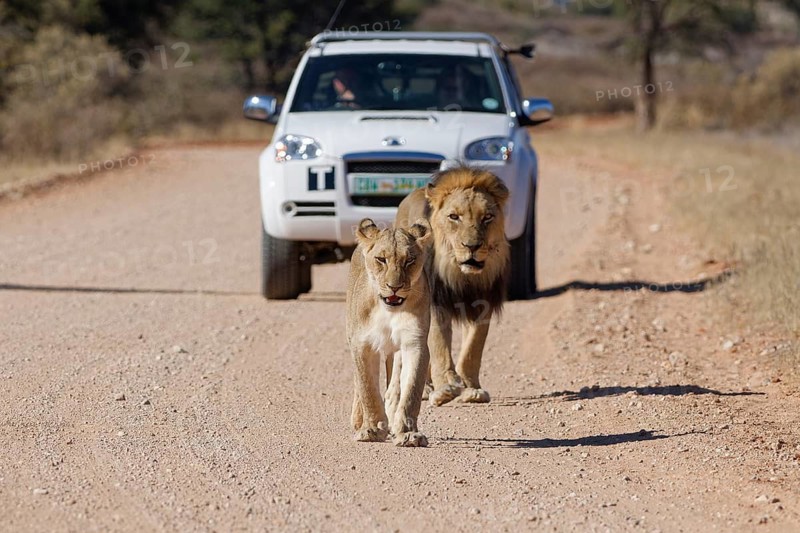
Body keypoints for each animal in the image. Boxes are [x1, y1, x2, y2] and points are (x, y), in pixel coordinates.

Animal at [346, 218, 432, 447]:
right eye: (381, 259)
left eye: (409, 260)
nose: (395, 287)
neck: (388, 310)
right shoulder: (362, 345)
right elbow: (367, 388)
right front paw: (372, 429)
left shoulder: (414, 343)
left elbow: (411, 391)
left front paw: (408, 433)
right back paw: (358, 420)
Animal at [396, 166, 510, 406]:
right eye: (454, 217)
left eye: (487, 217)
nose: (472, 246)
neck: (462, 276)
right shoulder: (436, 305)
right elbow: (439, 345)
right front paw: (445, 388)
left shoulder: (482, 304)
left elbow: (473, 348)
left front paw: (472, 389)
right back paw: (426, 389)